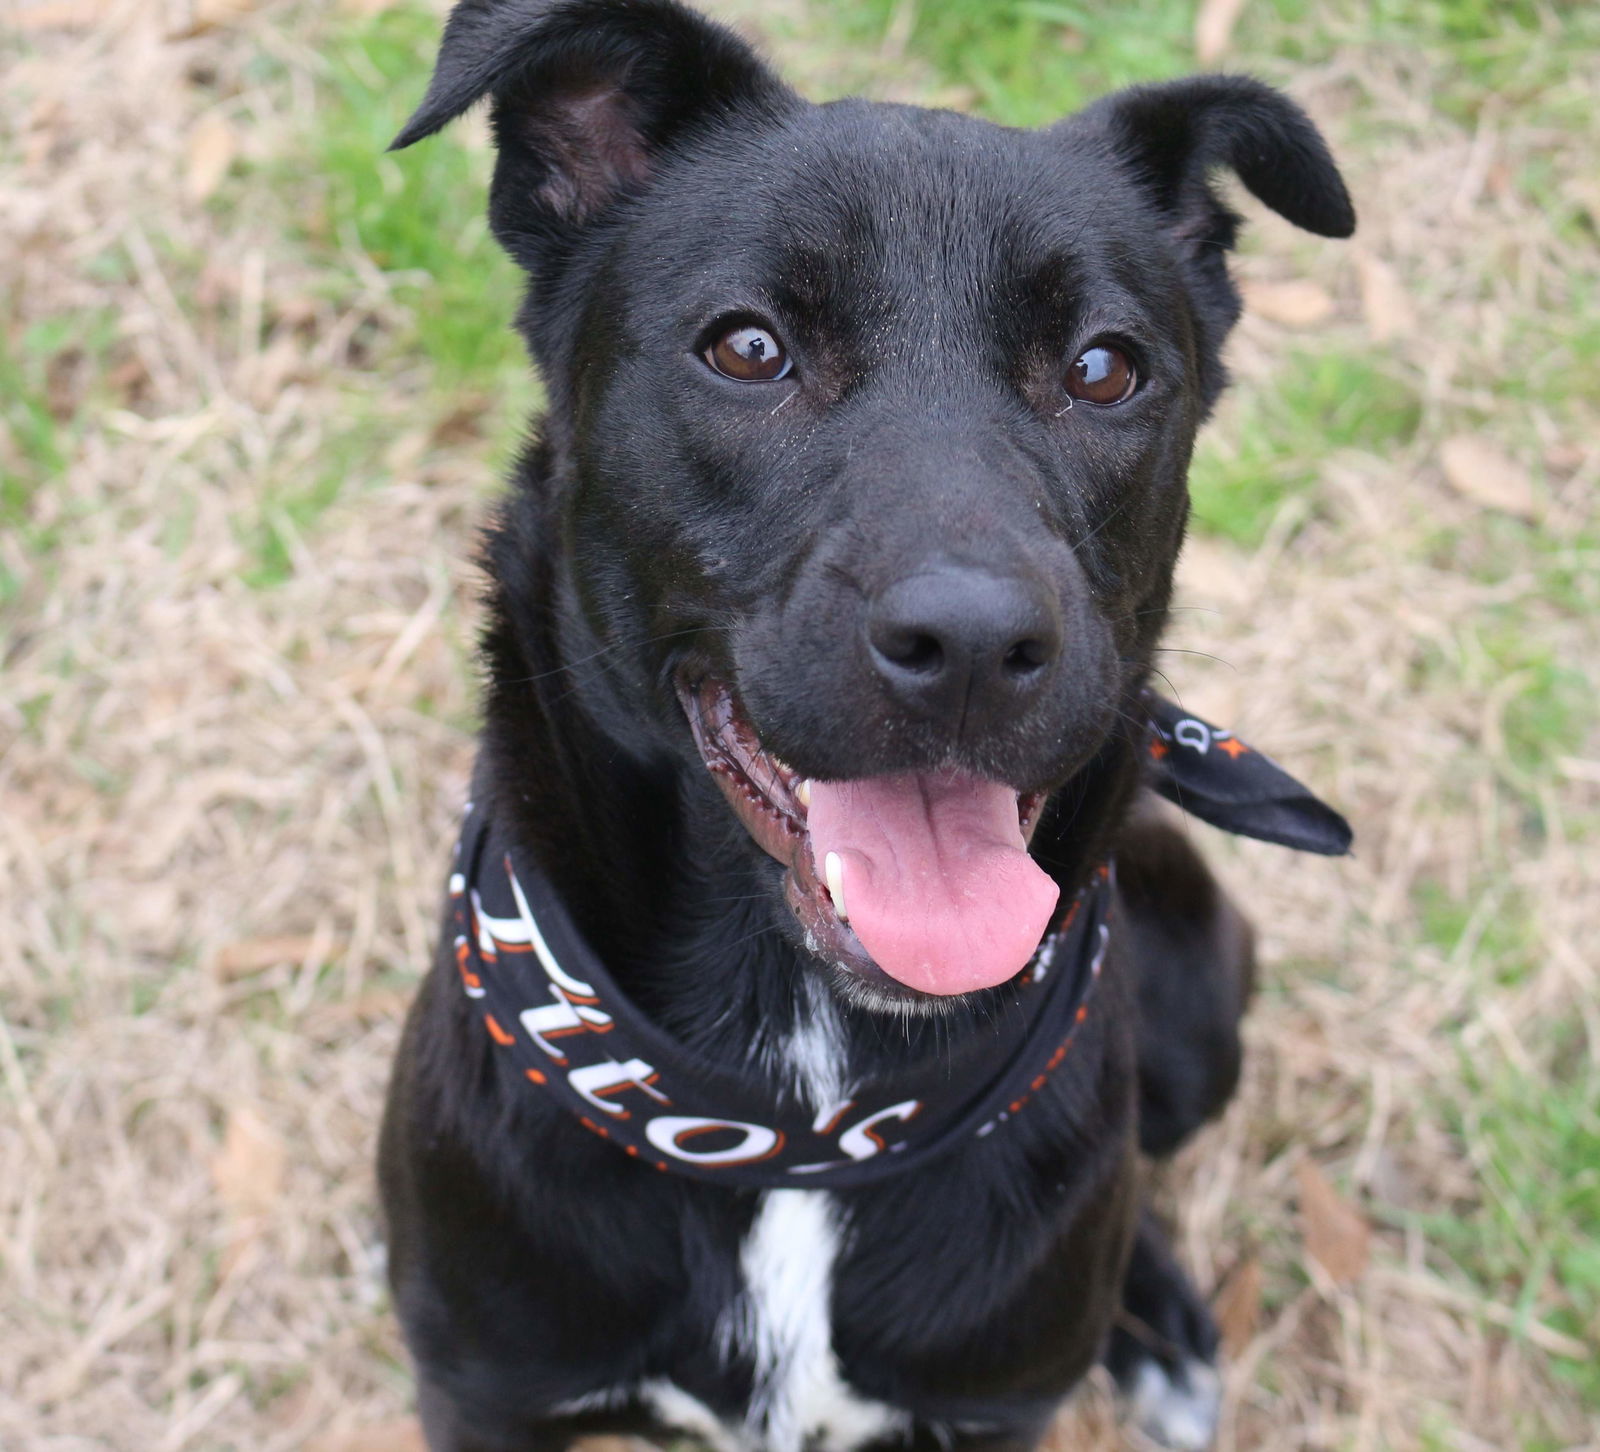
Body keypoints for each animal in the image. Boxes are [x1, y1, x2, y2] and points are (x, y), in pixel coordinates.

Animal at [377, 5, 1350, 1445]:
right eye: (746, 348)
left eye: (1105, 369)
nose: (972, 647)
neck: (802, 1117)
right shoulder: (485, 1391)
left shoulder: (995, 1408)